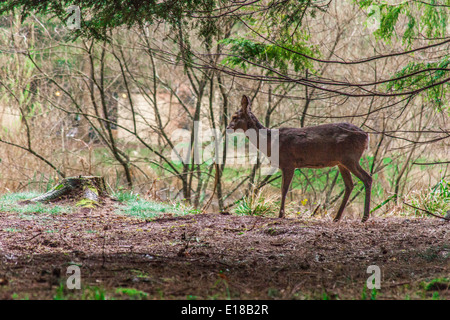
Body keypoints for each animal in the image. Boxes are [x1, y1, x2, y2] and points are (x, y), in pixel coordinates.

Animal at [229, 94, 372, 221]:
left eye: (234, 117)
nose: (228, 128)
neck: (270, 142)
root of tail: (366, 136)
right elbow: (284, 188)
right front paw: (282, 214)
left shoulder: (288, 163)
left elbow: (284, 189)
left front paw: (281, 215)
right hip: (341, 162)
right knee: (349, 185)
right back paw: (337, 218)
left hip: (350, 158)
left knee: (367, 178)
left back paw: (364, 218)